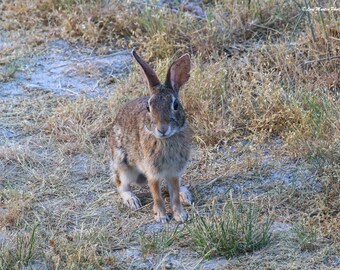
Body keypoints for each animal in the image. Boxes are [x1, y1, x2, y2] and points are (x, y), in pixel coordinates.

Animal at [107, 50, 193, 224]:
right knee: (120, 184)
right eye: (148, 107)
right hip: (123, 164)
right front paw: (161, 216)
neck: (166, 140)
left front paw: (180, 215)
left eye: (175, 105)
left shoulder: (174, 171)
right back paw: (132, 200)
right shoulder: (152, 171)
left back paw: (185, 195)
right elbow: (156, 194)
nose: (162, 129)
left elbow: (174, 193)